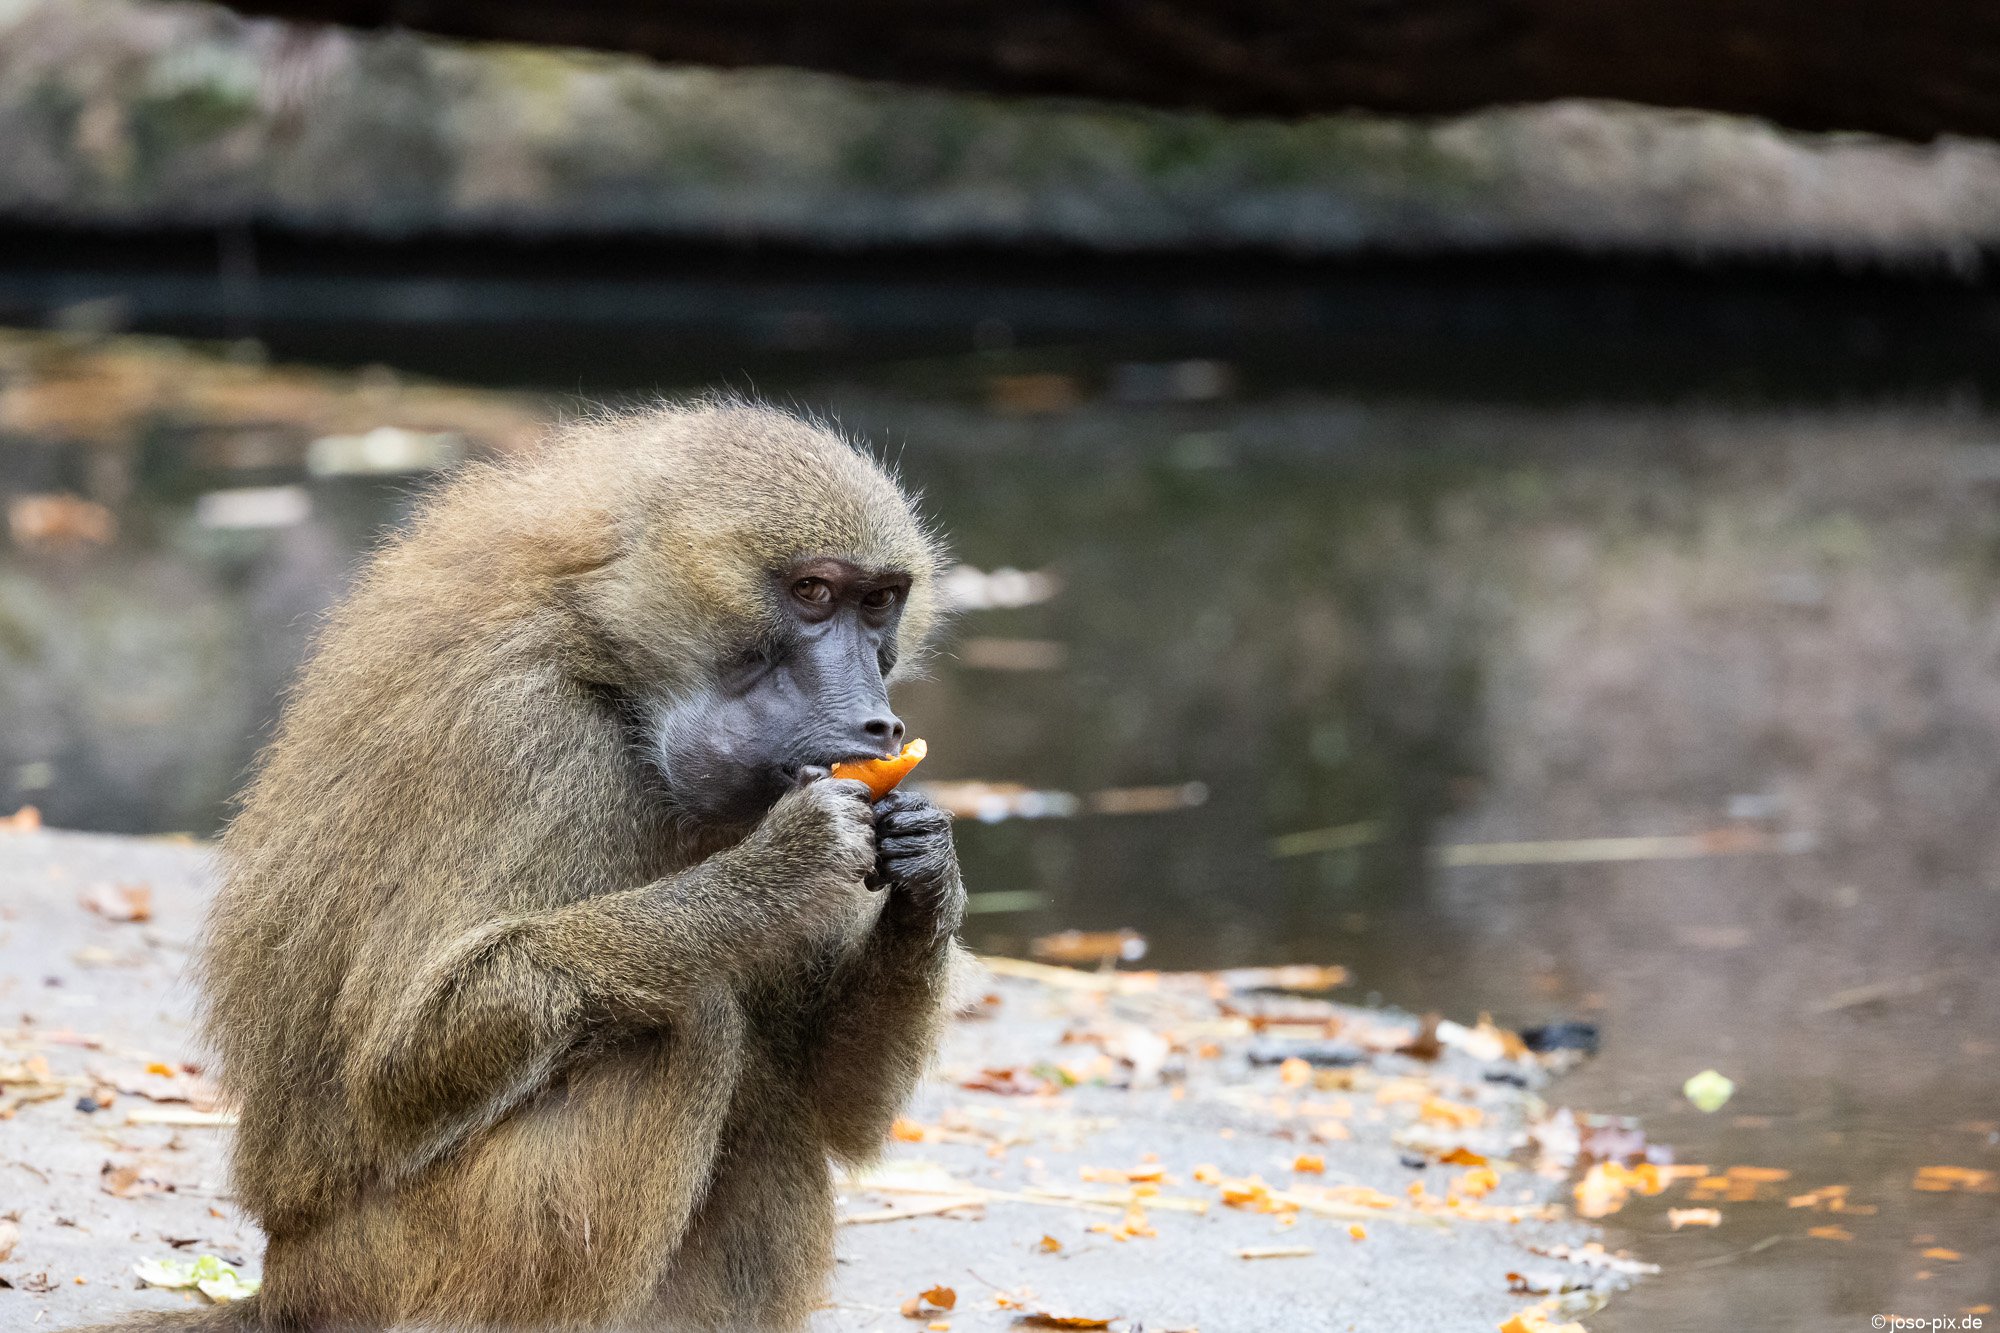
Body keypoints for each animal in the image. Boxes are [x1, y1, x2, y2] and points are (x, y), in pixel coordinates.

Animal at [85, 401, 968, 1332]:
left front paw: (927, 862)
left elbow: (837, 1105)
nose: (878, 724)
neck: (613, 672)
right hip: (387, 1266)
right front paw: (779, 868)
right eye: (812, 593)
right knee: (685, 1023)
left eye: (879, 603)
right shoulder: (517, 727)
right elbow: (398, 1059)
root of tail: (283, 1279)